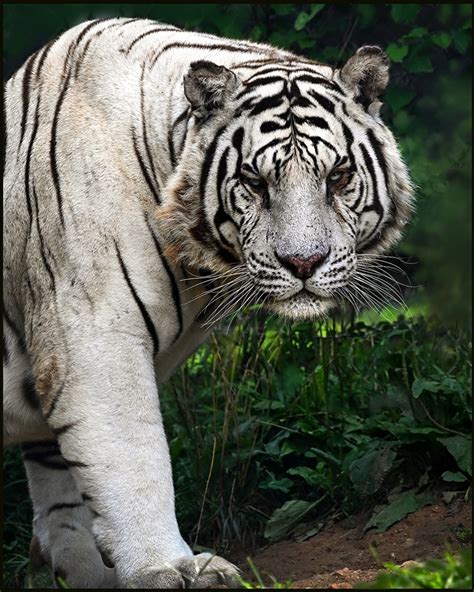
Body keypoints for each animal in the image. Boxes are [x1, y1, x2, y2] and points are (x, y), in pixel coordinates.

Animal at [2, 17, 412, 588]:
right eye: (254, 182)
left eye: (338, 177)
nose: (303, 262)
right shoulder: (92, 340)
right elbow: (132, 459)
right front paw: (164, 567)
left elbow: (70, 492)